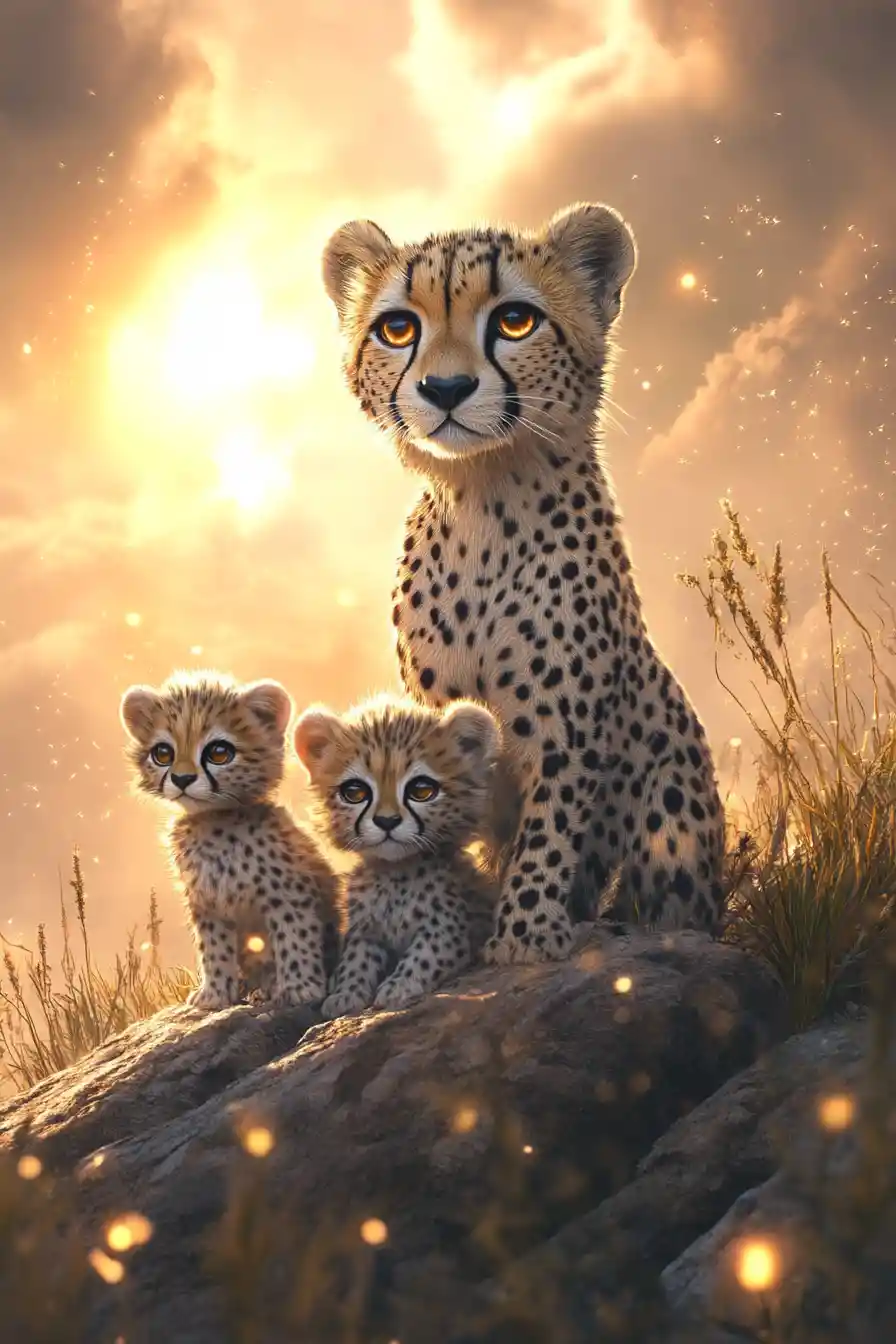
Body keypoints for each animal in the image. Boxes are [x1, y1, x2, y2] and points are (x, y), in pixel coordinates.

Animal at [120, 670, 338, 1011]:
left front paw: (299, 987)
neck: (213, 822)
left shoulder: (289, 894)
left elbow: (294, 936)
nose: (182, 779)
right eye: (163, 753)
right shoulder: (207, 903)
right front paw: (215, 994)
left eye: (219, 752)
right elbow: (214, 949)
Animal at [294, 694, 501, 1018]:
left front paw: (399, 986)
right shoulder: (365, 929)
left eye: (422, 790)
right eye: (355, 793)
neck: (395, 873)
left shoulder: (447, 927)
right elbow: (355, 959)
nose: (387, 821)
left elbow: (425, 954)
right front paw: (345, 993)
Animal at [320, 200, 726, 966]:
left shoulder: (565, 731)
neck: (482, 495)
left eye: (514, 321)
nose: (446, 389)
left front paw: (526, 935)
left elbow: (550, 834)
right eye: (399, 328)